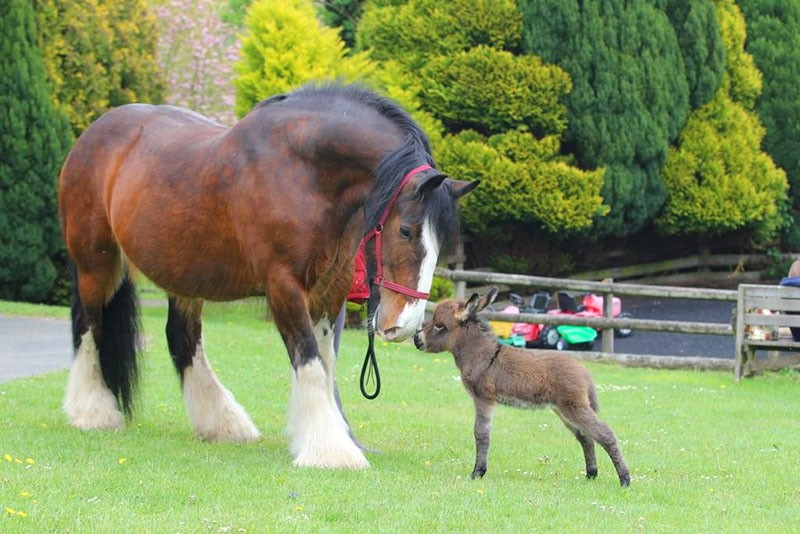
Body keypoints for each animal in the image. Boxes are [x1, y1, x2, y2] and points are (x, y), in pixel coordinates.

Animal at [61, 82, 482, 468]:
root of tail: (94, 133)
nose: (404, 325)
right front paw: (331, 451)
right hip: (95, 264)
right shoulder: (283, 288)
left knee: (182, 338)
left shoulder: (330, 291)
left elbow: (325, 366)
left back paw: (223, 423)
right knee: (89, 326)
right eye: (406, 231)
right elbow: (309, 362)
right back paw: (93, 412)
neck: (303, 173)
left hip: (184, 275)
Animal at [412, 292, 632, 488]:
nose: (416, 340)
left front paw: (477, 472)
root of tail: (584, 372)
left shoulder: (483, 398)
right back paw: (591, 474)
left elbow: (481, 434)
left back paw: (625, 480)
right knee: (586, 437)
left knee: (605, 434)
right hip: (564, 410)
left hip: (574, 408)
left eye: (440, 326)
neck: (480, 355)